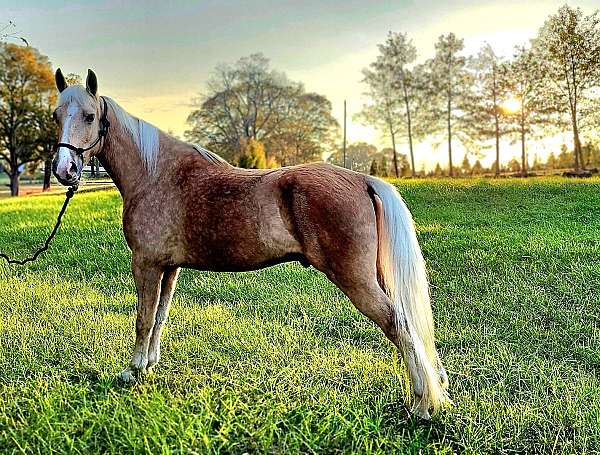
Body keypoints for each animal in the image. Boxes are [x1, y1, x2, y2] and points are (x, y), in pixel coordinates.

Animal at [52, 68, 450, 420]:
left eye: (89, 116)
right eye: (56, 115)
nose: (64, 170)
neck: (155, 173)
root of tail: (363, 180)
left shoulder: (146, 265)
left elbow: (143, 319)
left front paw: (132, 370)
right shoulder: (169, 268)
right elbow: (160, 318)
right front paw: (149, 365)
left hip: (358, 281)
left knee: (399, 325)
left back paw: (421, 403)